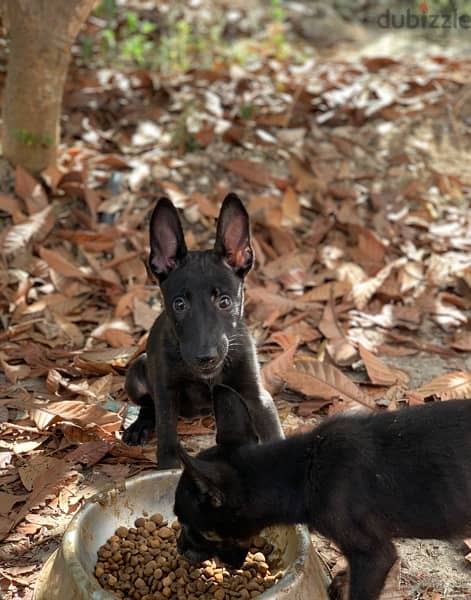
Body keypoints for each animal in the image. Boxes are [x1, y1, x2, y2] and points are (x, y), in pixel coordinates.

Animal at [123, 195, 282, 472]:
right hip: (136, 373)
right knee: (148, 405)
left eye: (225, 302)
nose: (205, 357)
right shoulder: (167, 393)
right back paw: (139, 426)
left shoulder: (257, 396)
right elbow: (167, 438)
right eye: (179, 304)